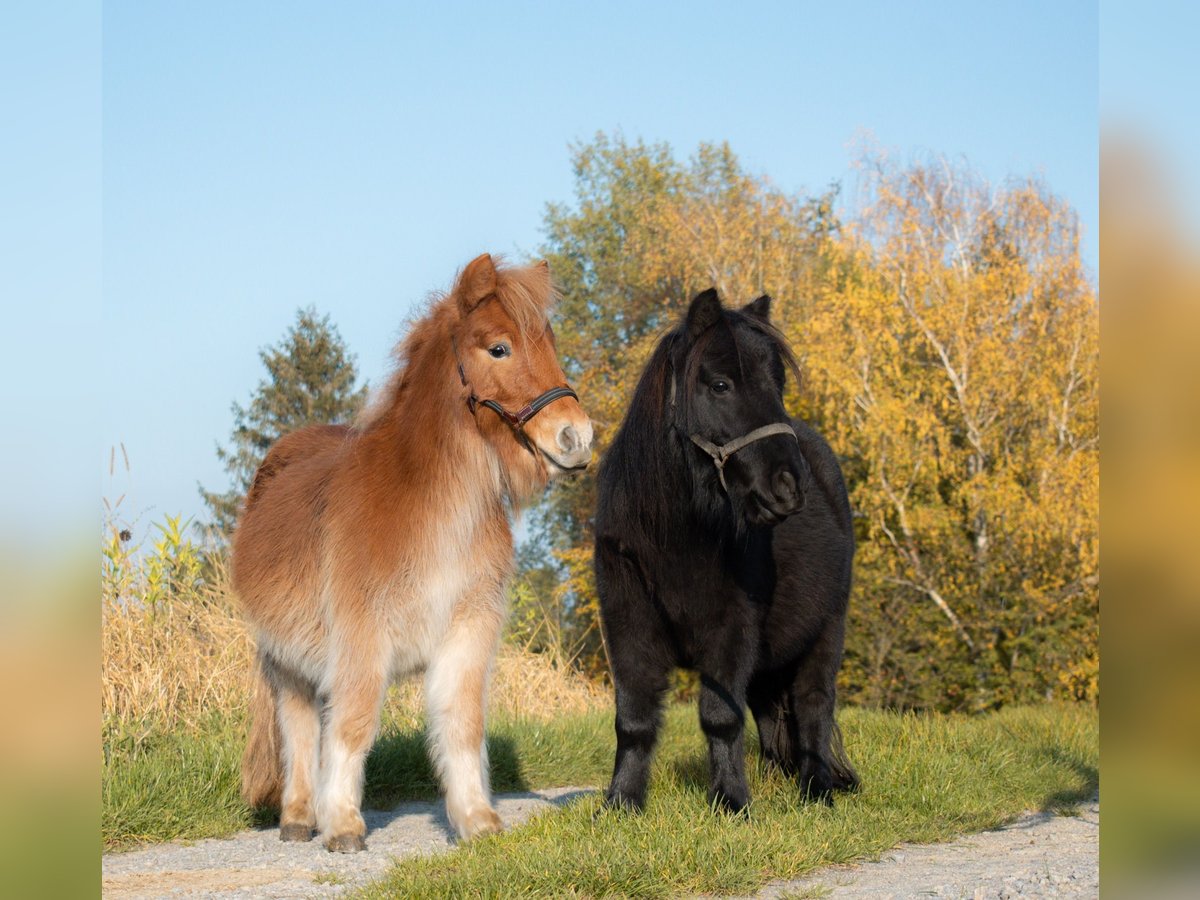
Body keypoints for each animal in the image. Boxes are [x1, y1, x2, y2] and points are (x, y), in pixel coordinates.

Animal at [229, 254, 590, 854]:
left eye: (551, 343)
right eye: (499, 348)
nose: (577, 439)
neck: (431, 513)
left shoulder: (467, 631)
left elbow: (461, 726)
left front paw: (476, 820)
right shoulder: (362, 637)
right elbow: (353, 725)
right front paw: (343, 825)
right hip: (288, 664)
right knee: (300, 728)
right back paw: (301, 817)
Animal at [592, 290, 859, 816]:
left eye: (777, 384)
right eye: (720, 384)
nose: (788, 487)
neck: (672, 534)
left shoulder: (730, 627)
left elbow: (720, 716)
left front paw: (731, 803)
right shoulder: (627, 622)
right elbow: (633, 719)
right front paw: (622, 803)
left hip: (827, 629)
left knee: (814, 705)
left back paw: (816, 790)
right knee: (774, 714)